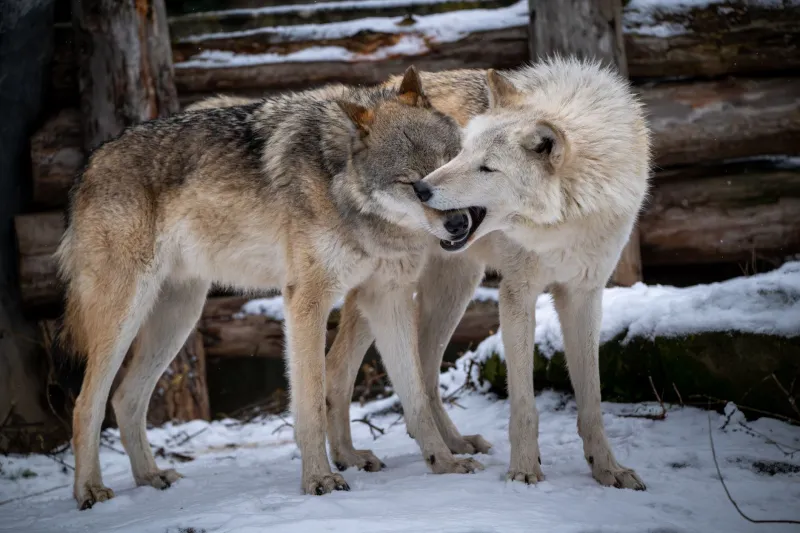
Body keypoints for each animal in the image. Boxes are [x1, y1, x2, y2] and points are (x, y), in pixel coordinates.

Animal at [57, 66, 484, 510]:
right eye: (415, 185)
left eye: (450, 168)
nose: (461, 223)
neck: (342, 187)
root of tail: (90, 163)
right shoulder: (307, 301)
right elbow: (310, 403)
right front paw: (319, 480)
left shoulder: (388, 297)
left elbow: (415, 397)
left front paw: (445, 464)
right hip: (125, 315)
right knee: (85, 405)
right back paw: (89, 490)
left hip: (179, 317)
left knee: (125, 399)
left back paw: (151, 477)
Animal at [324, 57, 650, 490]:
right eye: (461, 152)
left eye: (486, 168)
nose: (422, 189)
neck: (563, 221)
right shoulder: (517, 293)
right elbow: (524, 405)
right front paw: (525, 471)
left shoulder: (584, 295)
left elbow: (592, 403)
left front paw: (608, 470)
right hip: (390, 292)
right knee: (338, 367)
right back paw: (350, 457)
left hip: (454, 290)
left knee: (423, 372)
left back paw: (455, 444)